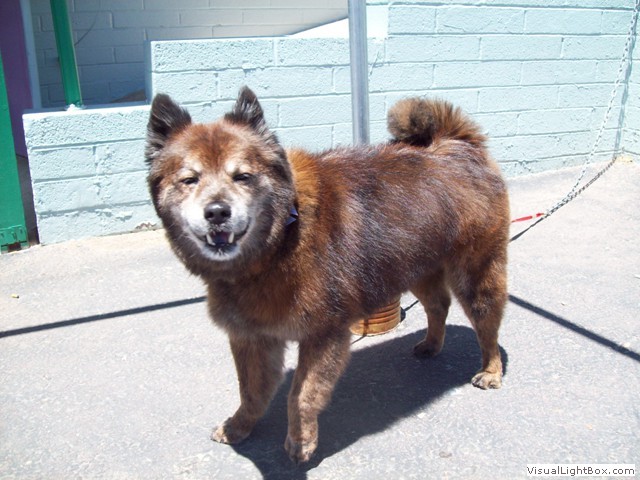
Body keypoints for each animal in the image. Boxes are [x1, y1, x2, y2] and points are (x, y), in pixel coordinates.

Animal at [145, 86, 510, 463]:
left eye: (242, 176)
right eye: (190, 179)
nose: (217, 212)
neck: (281, 241)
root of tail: (459, 144)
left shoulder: (324, 334)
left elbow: (302, 394)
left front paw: (301, 441)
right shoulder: (252, 336)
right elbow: (251, 390)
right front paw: (239, 426)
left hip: (475, 275)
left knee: (487, 326)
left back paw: (491, 370)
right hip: (415, 267)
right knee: (438, 304)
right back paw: (431, 345)